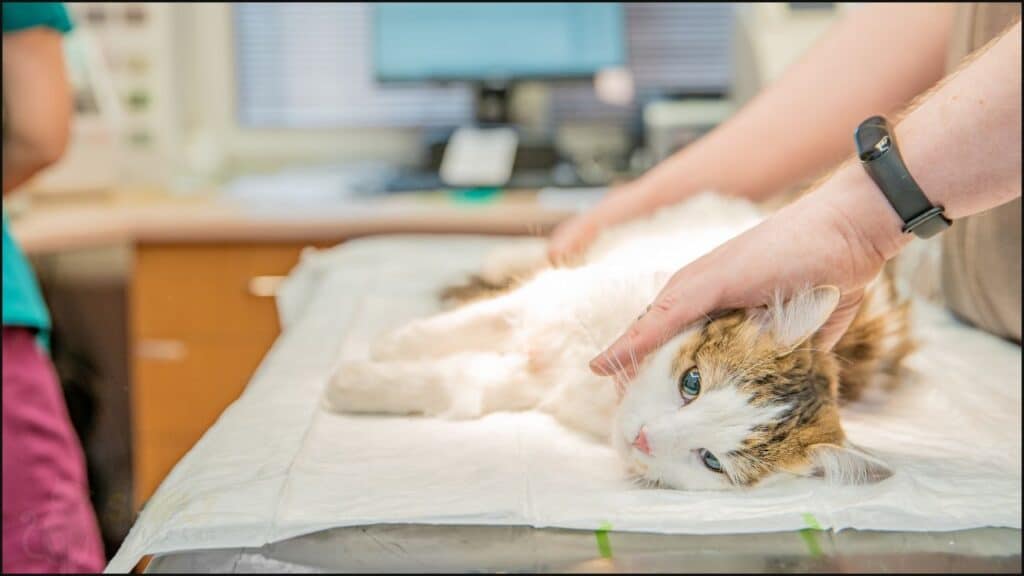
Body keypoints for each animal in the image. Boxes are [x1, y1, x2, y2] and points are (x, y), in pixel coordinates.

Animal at [325, 191, 913, 487]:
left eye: (711, 461)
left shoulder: (526, 379)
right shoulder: (551, 300)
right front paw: (390, 346)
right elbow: (468, 324)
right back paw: (506, 255)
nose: (645, 440)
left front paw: (354, 382)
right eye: (692, 383)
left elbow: (453, 382)